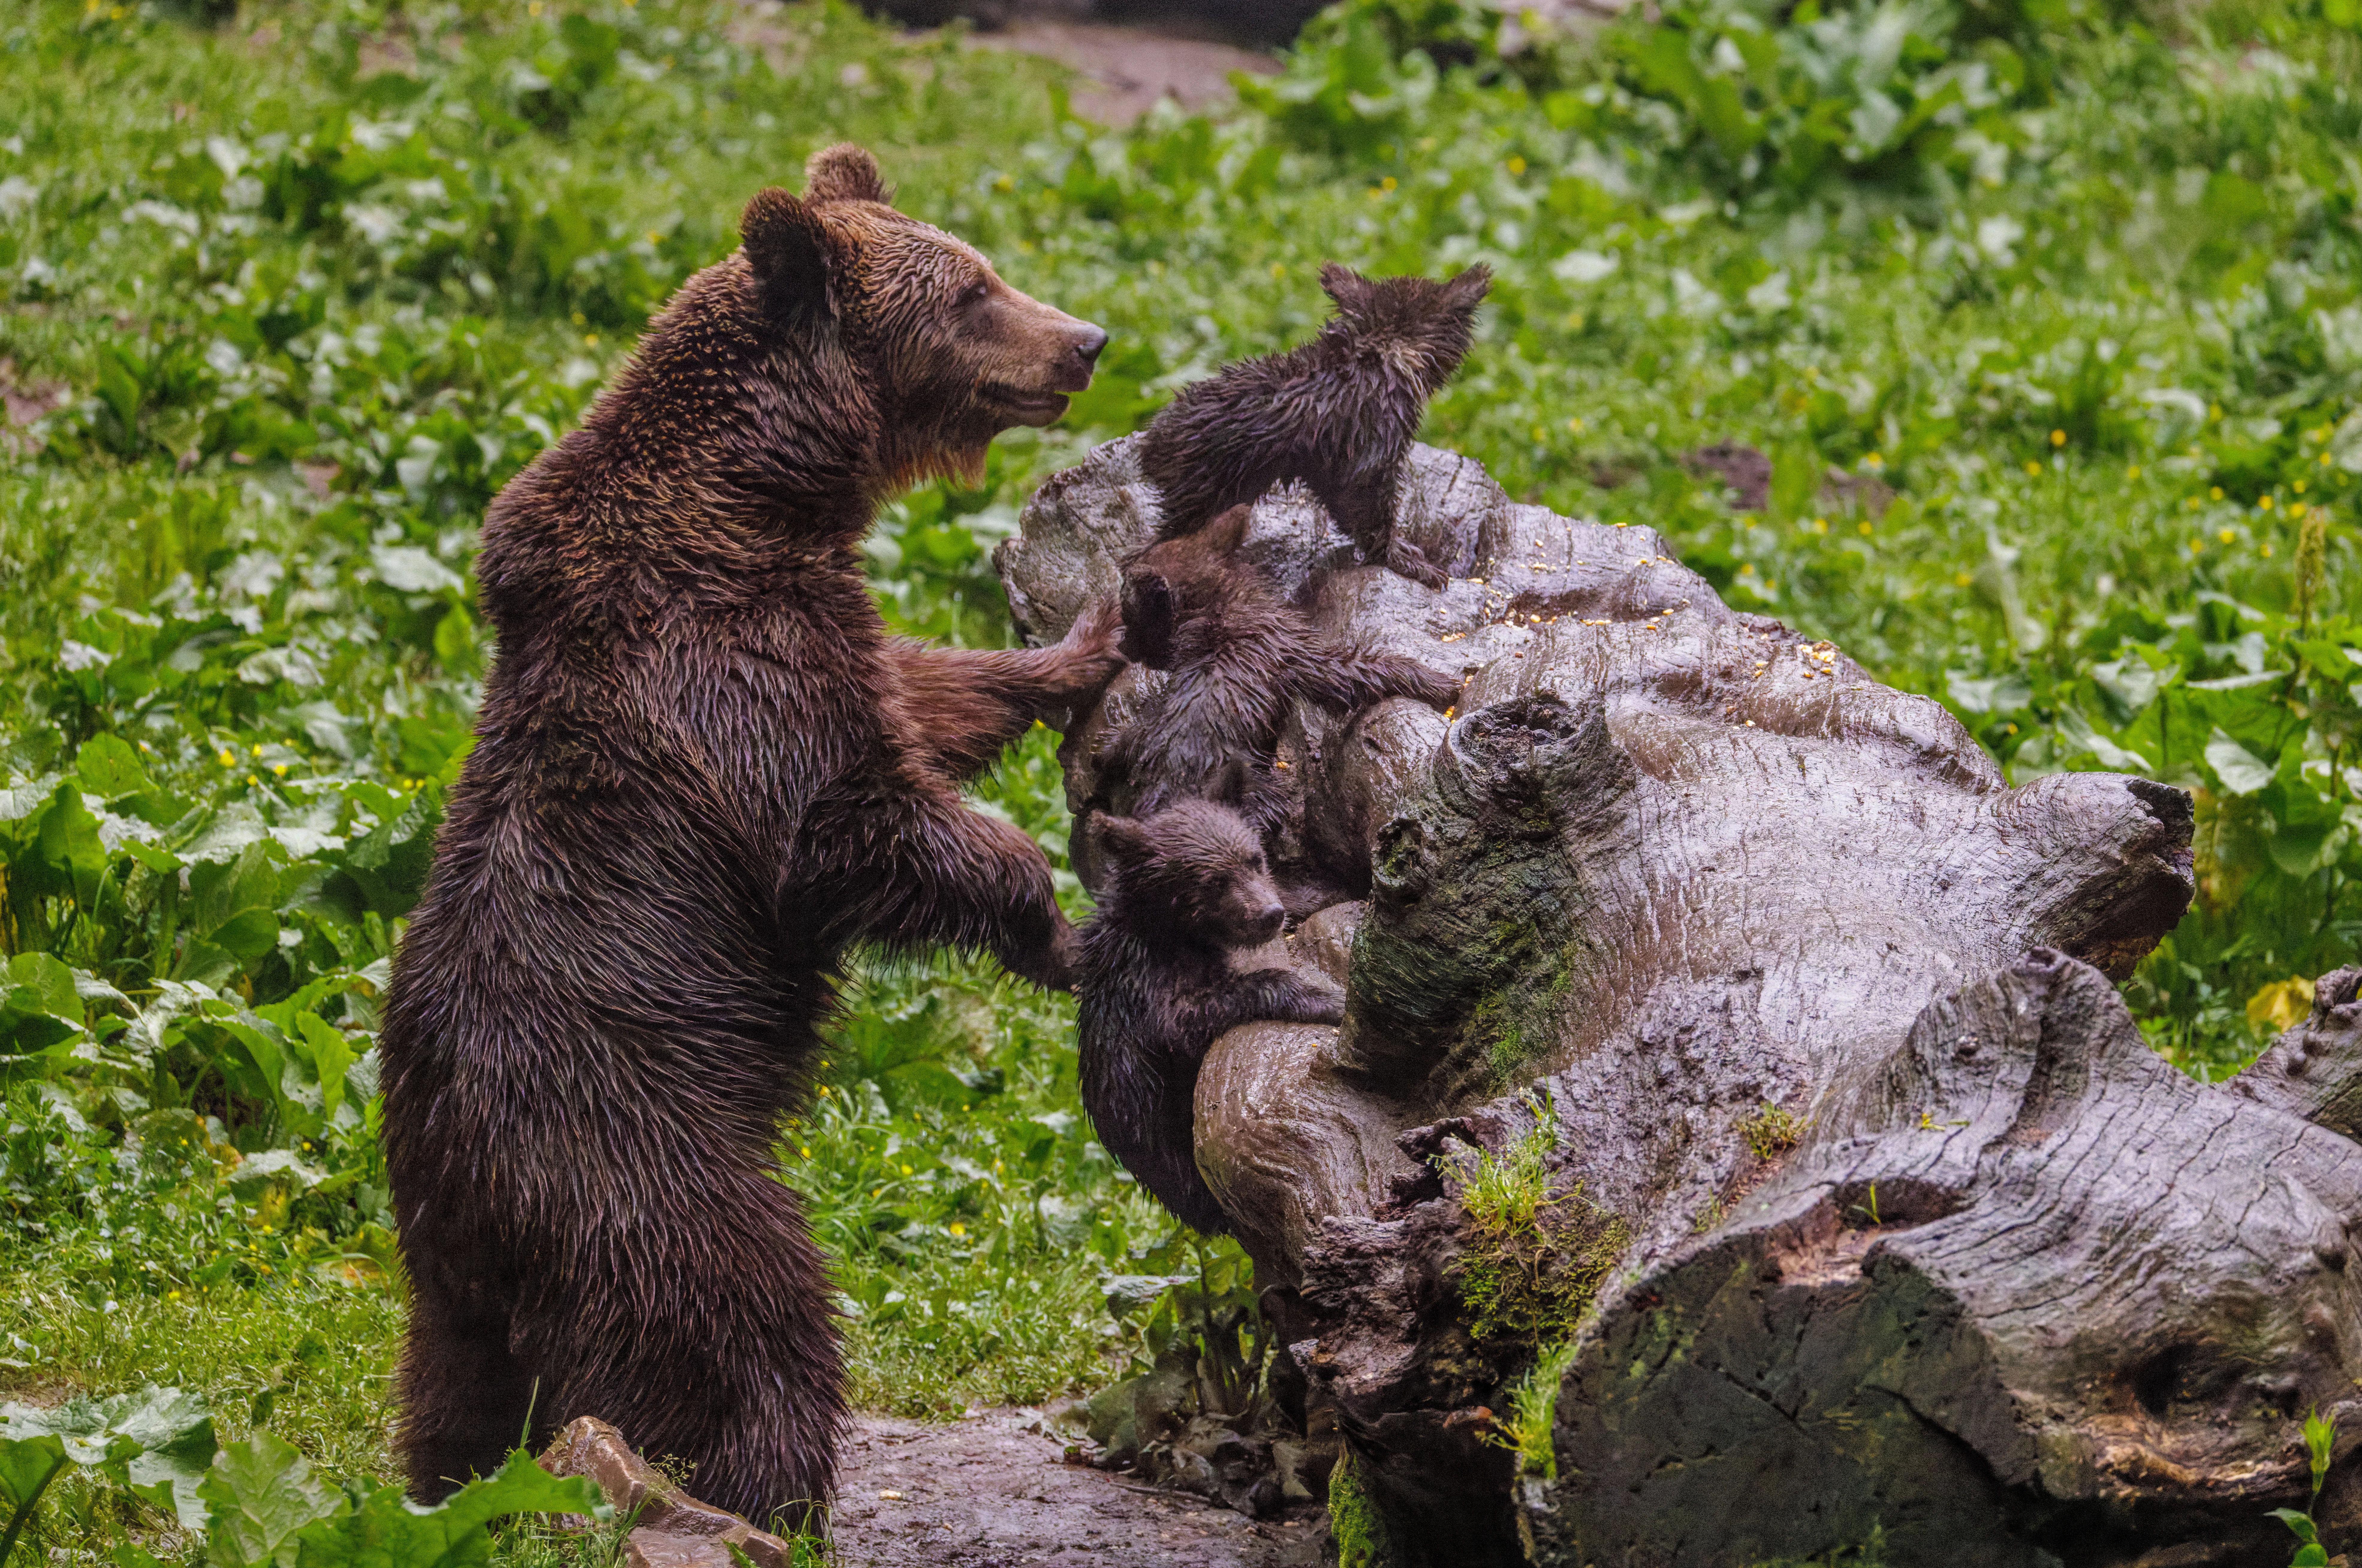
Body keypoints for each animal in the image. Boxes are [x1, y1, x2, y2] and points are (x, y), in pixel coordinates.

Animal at [377, 143, 1124, 1526]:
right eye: (971, 291)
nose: (1085, 341)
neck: (759, 497)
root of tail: (466, 1195)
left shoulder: (819, 622)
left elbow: (926, 698)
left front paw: (1079, 643)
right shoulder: (722, 669)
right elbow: (854, 826)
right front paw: (1056, 925)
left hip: (449, 1281)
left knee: (455, 1397)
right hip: (639, 1159)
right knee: (747, 1314)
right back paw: (762, 1493)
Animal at [1077, 799, 1347, 1234]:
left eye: (1255, 859)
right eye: (1213, 881)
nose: (1269, 914)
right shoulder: (1145, 984)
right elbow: (1186, 1021)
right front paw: (1328, 999)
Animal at [1101, 502, 1461, 826]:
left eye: (1130, 617)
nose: (1120, 645)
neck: (1222, 612)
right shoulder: (1294, 652)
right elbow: (1358, 670)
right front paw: (1442, 685)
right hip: (1255, 790)